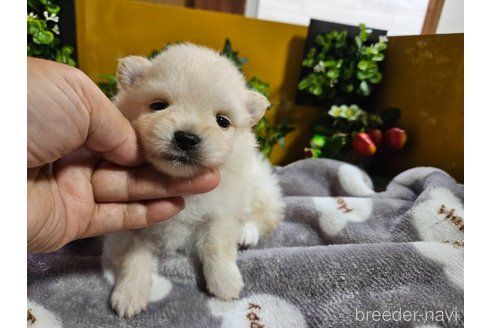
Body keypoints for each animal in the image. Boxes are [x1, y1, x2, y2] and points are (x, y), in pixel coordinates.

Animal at [104, 43, 284, 318]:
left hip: (259, 186)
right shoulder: (132, 226)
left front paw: (225, 283)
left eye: (222, 121)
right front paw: (129, 295)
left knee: (266, 214)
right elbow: (133, 258)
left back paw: (247, 232)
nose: (186, 138)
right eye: (158, 106)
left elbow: (217, 247)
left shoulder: (220, 213)